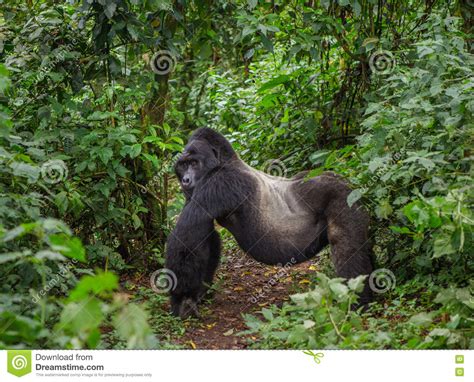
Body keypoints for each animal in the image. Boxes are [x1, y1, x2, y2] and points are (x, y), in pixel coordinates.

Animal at [165, 128, 372, 316]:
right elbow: (206, 237)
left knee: (347, 246)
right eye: (182, 165)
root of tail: (348, 183)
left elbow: (189, 234)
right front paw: (197, 293)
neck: (226, 160)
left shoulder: (220, 181)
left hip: (342, 197)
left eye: (194, 163)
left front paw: (181, 299)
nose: (185, 180)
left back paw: (357, 302)